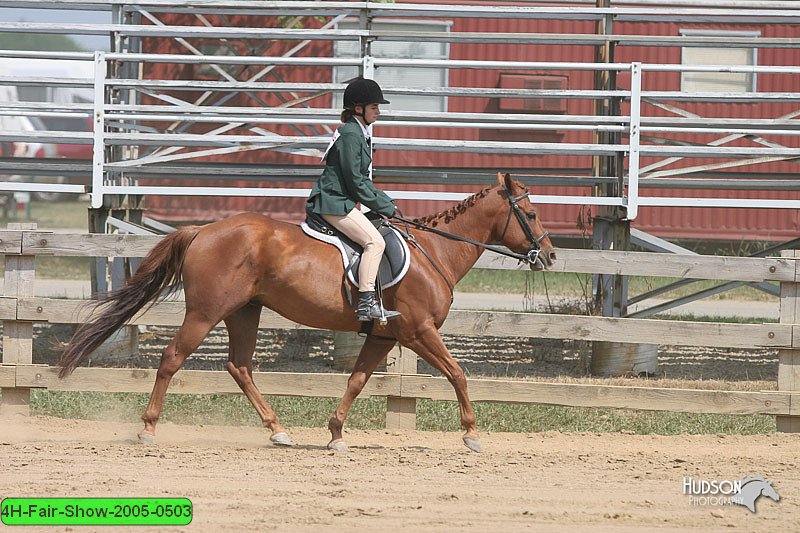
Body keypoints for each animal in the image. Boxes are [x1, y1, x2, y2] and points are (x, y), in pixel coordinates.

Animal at [59, 172, 552, 450]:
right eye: (529, 212)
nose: (547, 255)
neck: (434, 252)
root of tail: (203, 230)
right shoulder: (417, 331)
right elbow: (457, 374)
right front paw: (471, 434)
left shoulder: (384, 335)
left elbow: (357, 380)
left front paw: (335, 434)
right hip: (205, 312)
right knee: (172, 358)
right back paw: (148, 429)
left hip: (245, 312)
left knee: (239, 366)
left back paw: (278, 430)